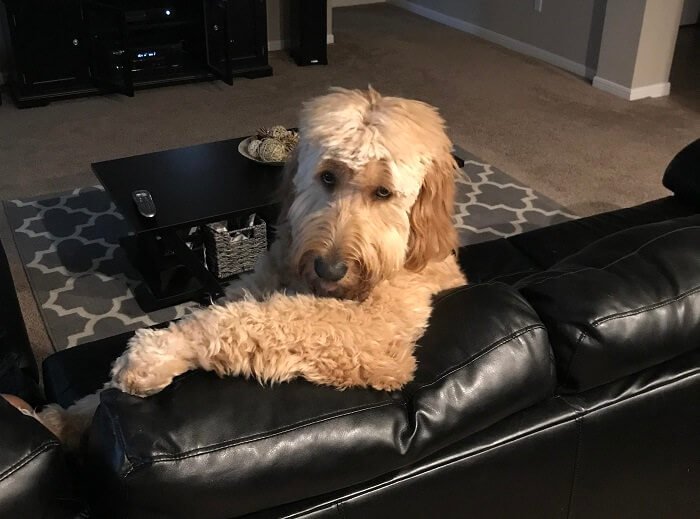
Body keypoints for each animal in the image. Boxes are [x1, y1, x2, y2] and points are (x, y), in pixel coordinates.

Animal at [37, 87, 464, 448]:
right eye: (327, 176)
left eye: (384, 192)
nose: (328, 269)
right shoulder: (254, 286)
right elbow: (229, 311)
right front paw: (67, 418)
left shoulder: (377, 336)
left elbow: (260, 321)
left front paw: (155, 352)